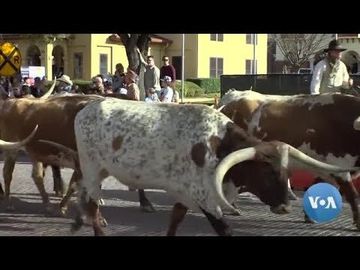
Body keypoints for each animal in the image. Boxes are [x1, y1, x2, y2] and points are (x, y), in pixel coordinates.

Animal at [43, 98, 356, 235]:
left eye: (286, 172)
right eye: (267, 173)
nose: (285, 206)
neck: (219, 145)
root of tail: (86, 107)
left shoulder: (185, 195)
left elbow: (174, 221)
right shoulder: (208, 200)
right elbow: (225, 230)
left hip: (95, 170)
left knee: (84, 196)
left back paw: (75, 220)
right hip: (93, 169)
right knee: (93, 205)